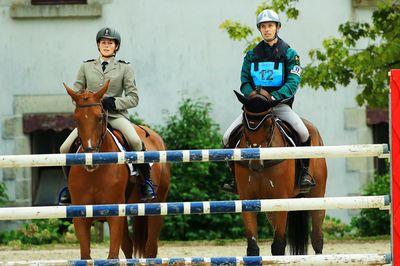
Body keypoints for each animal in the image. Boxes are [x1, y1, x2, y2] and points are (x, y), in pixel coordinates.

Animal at [63, 81, 169, 260]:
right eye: (76, 119)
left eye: (100, 117)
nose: (90, 159)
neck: (95, 174)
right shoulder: (81, 216)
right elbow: (86, 256)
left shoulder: (114, 216)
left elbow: (112, 255)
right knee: (127, 246)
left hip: (157, 208)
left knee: (151, 249)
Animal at [233, 89, 326, 256]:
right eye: (245, 124)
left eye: (269, 125)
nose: (255, 163)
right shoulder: (247, 198)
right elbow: (252, 247)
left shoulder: (281, 198)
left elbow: (278, 245)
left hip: (317, 195)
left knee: (317, 235)